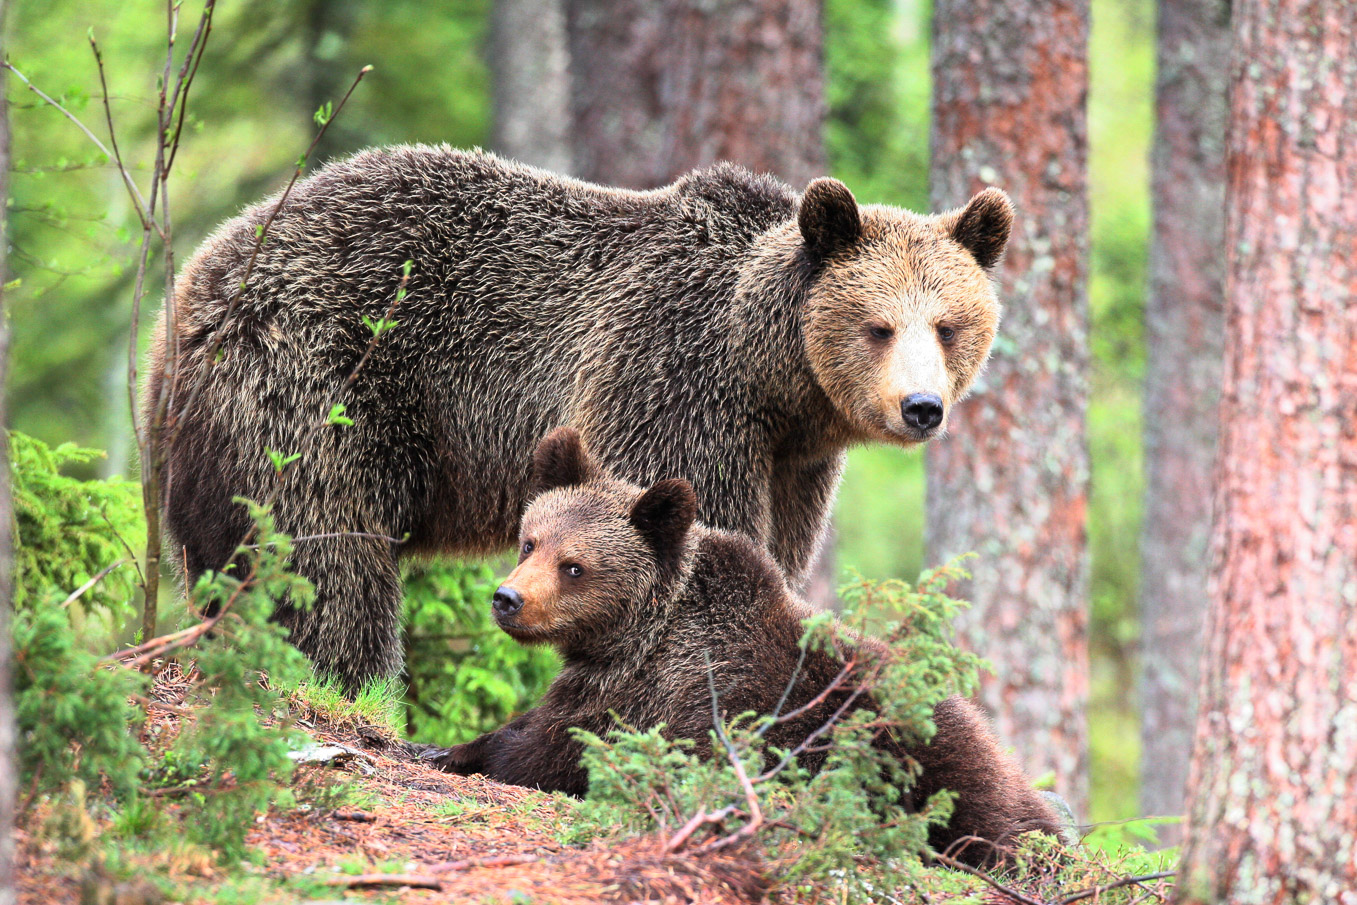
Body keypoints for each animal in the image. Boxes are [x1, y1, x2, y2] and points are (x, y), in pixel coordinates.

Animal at [146, 146, 1011, 690]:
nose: (921, 407)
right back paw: (341, 681)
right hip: (319, 376)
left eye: (947, 325)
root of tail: (190, 285)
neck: (771, 377)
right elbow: (690, 525)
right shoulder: (676, 384)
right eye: (877, 325)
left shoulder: (792, 461)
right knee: (323, 554)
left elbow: (777, 553)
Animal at [422, 428, 1061, 867]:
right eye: (530, 541)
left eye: (574, 566)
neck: (638, 634)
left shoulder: (657, 695)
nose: (506, 598)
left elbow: (558, 749)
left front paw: (458, 752)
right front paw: (445, 745)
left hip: (915, 757)